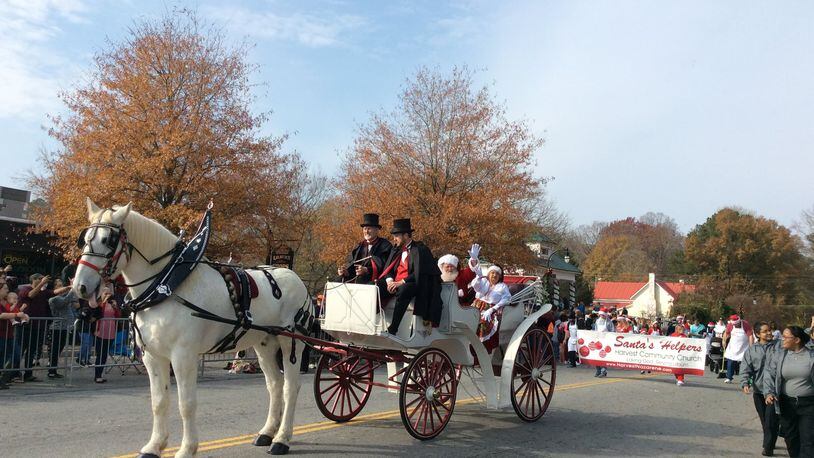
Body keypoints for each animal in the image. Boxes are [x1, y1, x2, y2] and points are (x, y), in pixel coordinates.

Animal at [73, 199, 310, 458]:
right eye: (85, 239)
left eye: (108, 240)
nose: (80, 287)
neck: (165, 285)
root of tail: (295, 277)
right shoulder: (152, 356)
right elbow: (159, 402)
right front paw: (155, 445)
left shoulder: (183, 355)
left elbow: (186, 404)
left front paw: (187, 448)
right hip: (264, 343)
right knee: (274, 385)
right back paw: (267, 433)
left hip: (291, 342)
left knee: (290, 387)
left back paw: (282, 438)